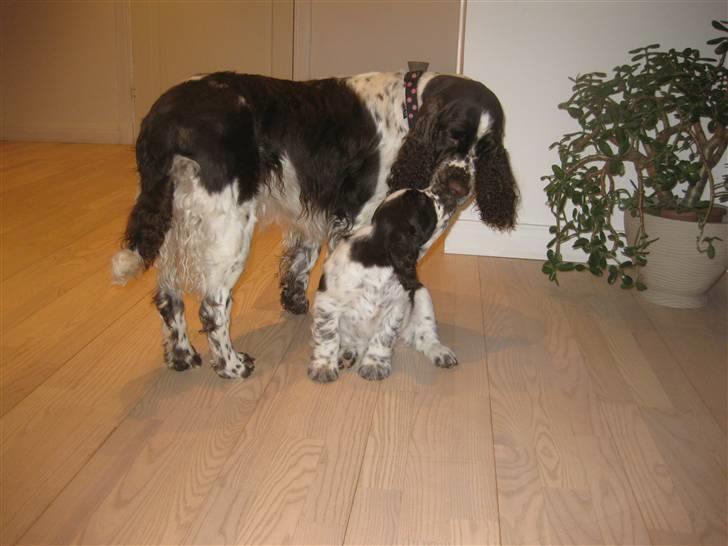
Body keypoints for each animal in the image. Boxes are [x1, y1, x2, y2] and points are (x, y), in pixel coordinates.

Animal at [306, 168, 466, 380]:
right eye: (425, 202)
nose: (446, 189)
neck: (380, 263)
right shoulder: (327, 302)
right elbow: (328, 336)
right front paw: (324, 367)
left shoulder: (396, 306)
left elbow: (383, 337)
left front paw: (375, 364)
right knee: (349, 341)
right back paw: (347, 354)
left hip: (422, 295)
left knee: (425, 336)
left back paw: (440, 352)